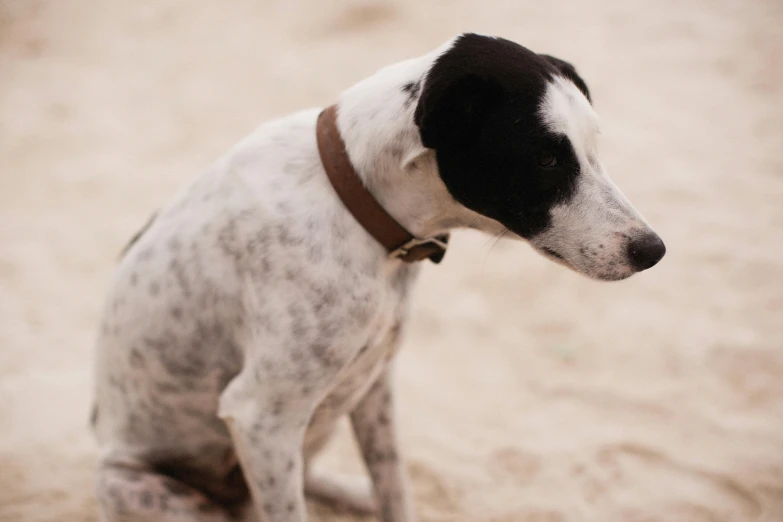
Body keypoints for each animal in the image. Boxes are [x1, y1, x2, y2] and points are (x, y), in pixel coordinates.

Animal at [92, 33, 668, 520]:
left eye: (594, 148)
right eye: (547, 159)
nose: (653, 251)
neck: (356, 202)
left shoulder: (374, 386)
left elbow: (396, 488)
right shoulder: (260, 416)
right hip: (142, 484)